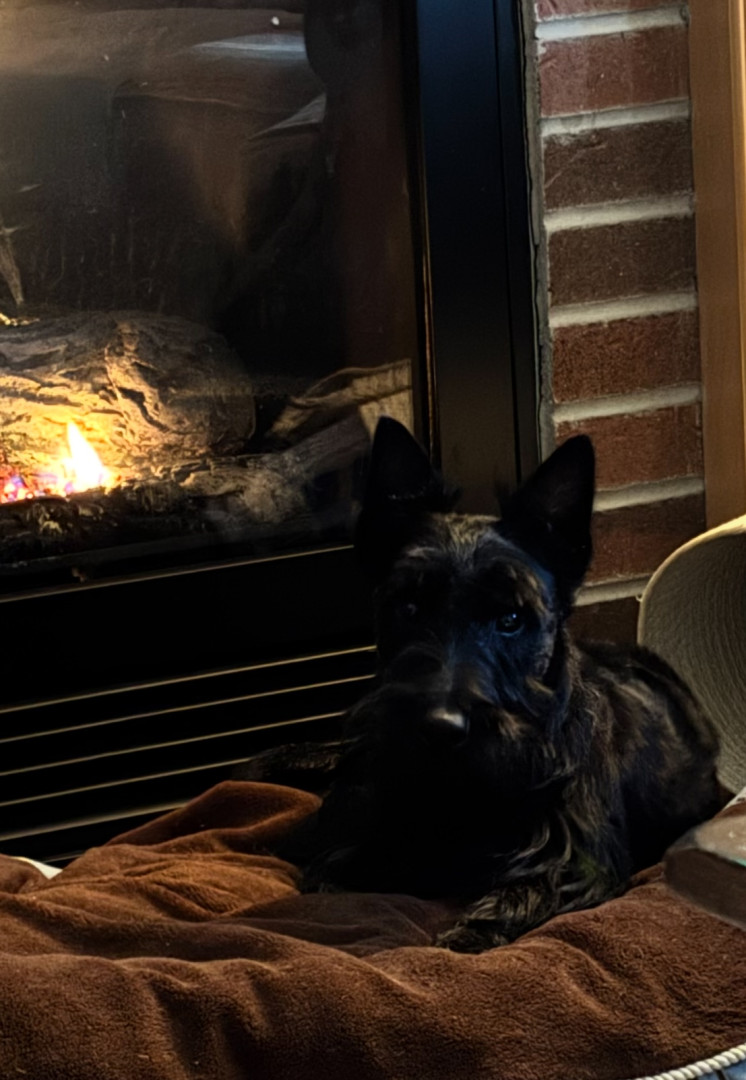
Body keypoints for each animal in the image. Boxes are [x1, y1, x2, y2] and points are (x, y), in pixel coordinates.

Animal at [244, 417, 721, 953]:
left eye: (511, 618)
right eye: (408, 606)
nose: (440, 727)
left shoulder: (576, 864)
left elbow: (522, 894)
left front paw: (464, 936)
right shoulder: (353, 840)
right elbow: (336, 872)